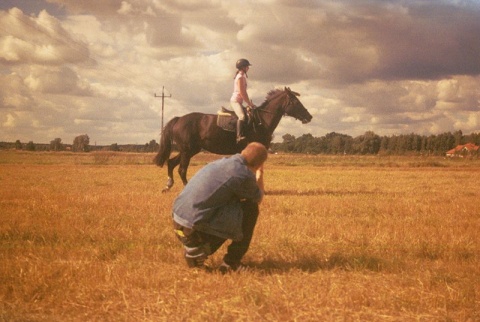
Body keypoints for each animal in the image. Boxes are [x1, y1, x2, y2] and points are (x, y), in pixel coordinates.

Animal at [152, 87, 314, 190]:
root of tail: (179, 119)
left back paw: (168, 185)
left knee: (171, 163)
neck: (261, 120)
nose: (309, 116)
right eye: (295, 102)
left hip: (190, 150)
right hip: (187, 150)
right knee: (181, 169)